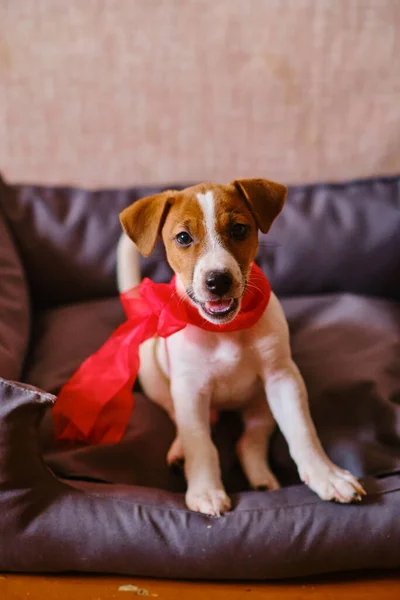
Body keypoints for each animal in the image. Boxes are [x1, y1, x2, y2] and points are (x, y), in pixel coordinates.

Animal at [115, 178, 366, 516]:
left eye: (238, 229)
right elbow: (200, 442)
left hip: (262, 402)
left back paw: (262, 480)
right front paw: (205, 490)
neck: (226, 329)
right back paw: (181, 450)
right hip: (155, 373)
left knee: (249, 441)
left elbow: (302, 430)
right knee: (181, 420)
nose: (217, 280)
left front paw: (326, 475)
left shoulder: (283, 378)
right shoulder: (190, 388)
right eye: (183, 237)